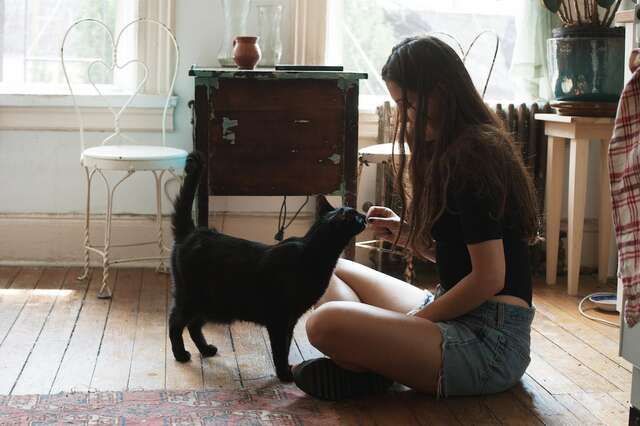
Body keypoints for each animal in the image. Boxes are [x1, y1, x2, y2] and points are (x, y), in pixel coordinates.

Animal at [169, 151, 366, 382]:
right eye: (357, 216)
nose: (365, 216)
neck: (314, 252)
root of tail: (192, 231)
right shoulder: (280, 318)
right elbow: (280, 348)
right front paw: (284, 374)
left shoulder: (290, 320)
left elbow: (287, 346)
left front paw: (286, 369)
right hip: (192, 298)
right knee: (175, 323)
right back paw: (180, 354)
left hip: (210, 303)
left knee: (193, 325)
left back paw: (206, 349)